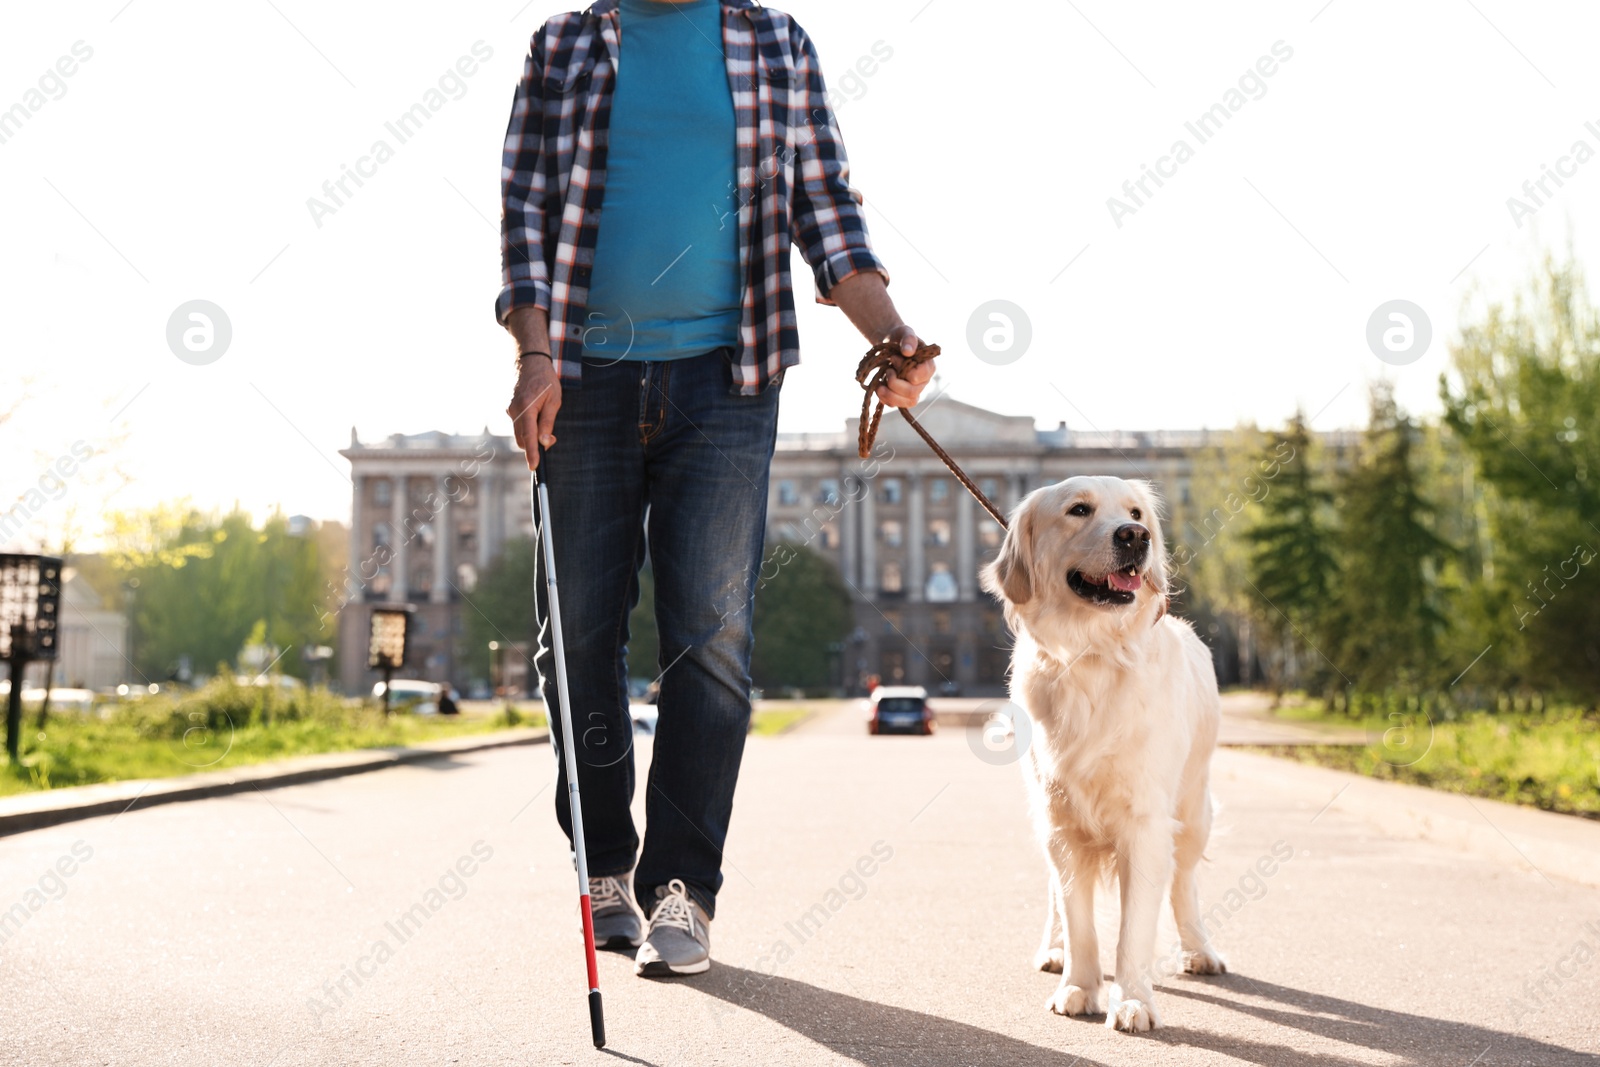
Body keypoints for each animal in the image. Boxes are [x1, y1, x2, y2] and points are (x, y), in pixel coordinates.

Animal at [972, 476, 1222, 1036]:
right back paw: (1054, 950)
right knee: (1054, 894)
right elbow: (1078, 916)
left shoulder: (1145, 823)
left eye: (1136, 513)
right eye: (1078, 510)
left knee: (1185, 883)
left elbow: (1135, 928)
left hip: (1194, 810)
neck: (1092, 656)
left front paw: (1132, 1001)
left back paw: (1200, 951)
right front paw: (1080, 988)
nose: (1134, 536)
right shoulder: (1061, 822)